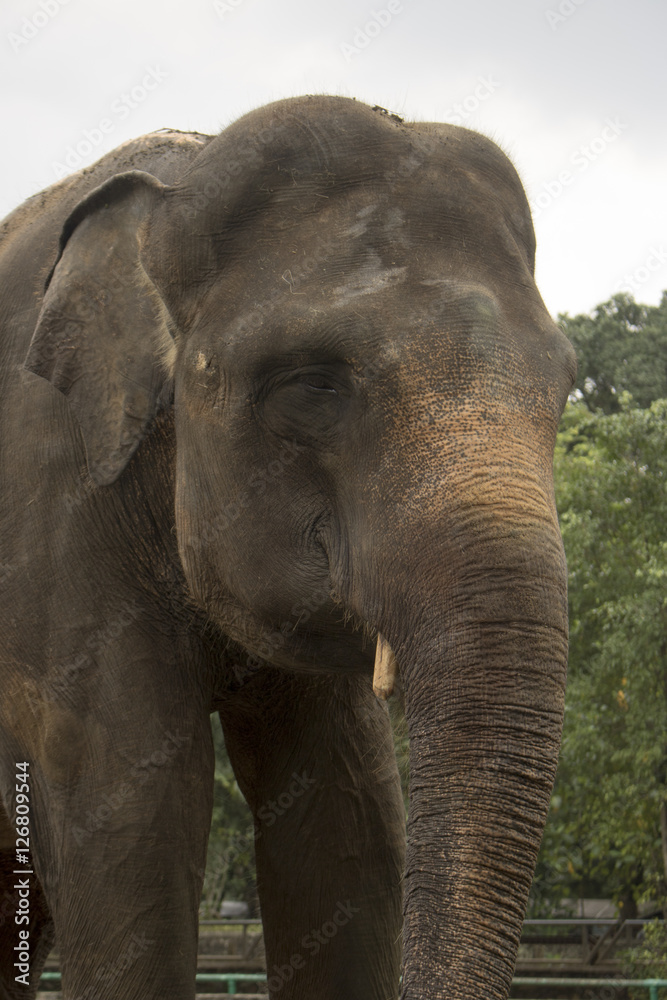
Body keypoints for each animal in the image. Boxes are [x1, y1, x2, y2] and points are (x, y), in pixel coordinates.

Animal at [0, 95, 576, 1000]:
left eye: (565, 385)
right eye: (311, 385)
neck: (170, 191)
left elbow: (351, 822)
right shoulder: (49, 518)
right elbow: (130, 818)